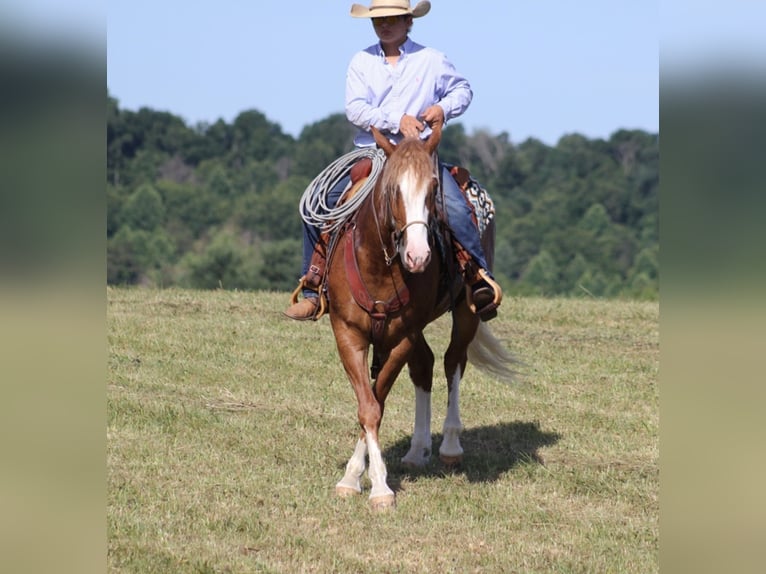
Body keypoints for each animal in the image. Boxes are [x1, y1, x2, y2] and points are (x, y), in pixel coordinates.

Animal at [324, 122, 516, 512]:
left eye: (432, 189)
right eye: (391, 188)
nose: (418, 256)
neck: (379, 266)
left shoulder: (401, 337)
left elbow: (376, 403)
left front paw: (379, 487)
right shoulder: (348, 334)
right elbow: (368, 404)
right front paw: (353, 478)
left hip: (466, 312)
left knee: (453, 361)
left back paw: (450, 444)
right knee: (425, 365)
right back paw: (416, 450)